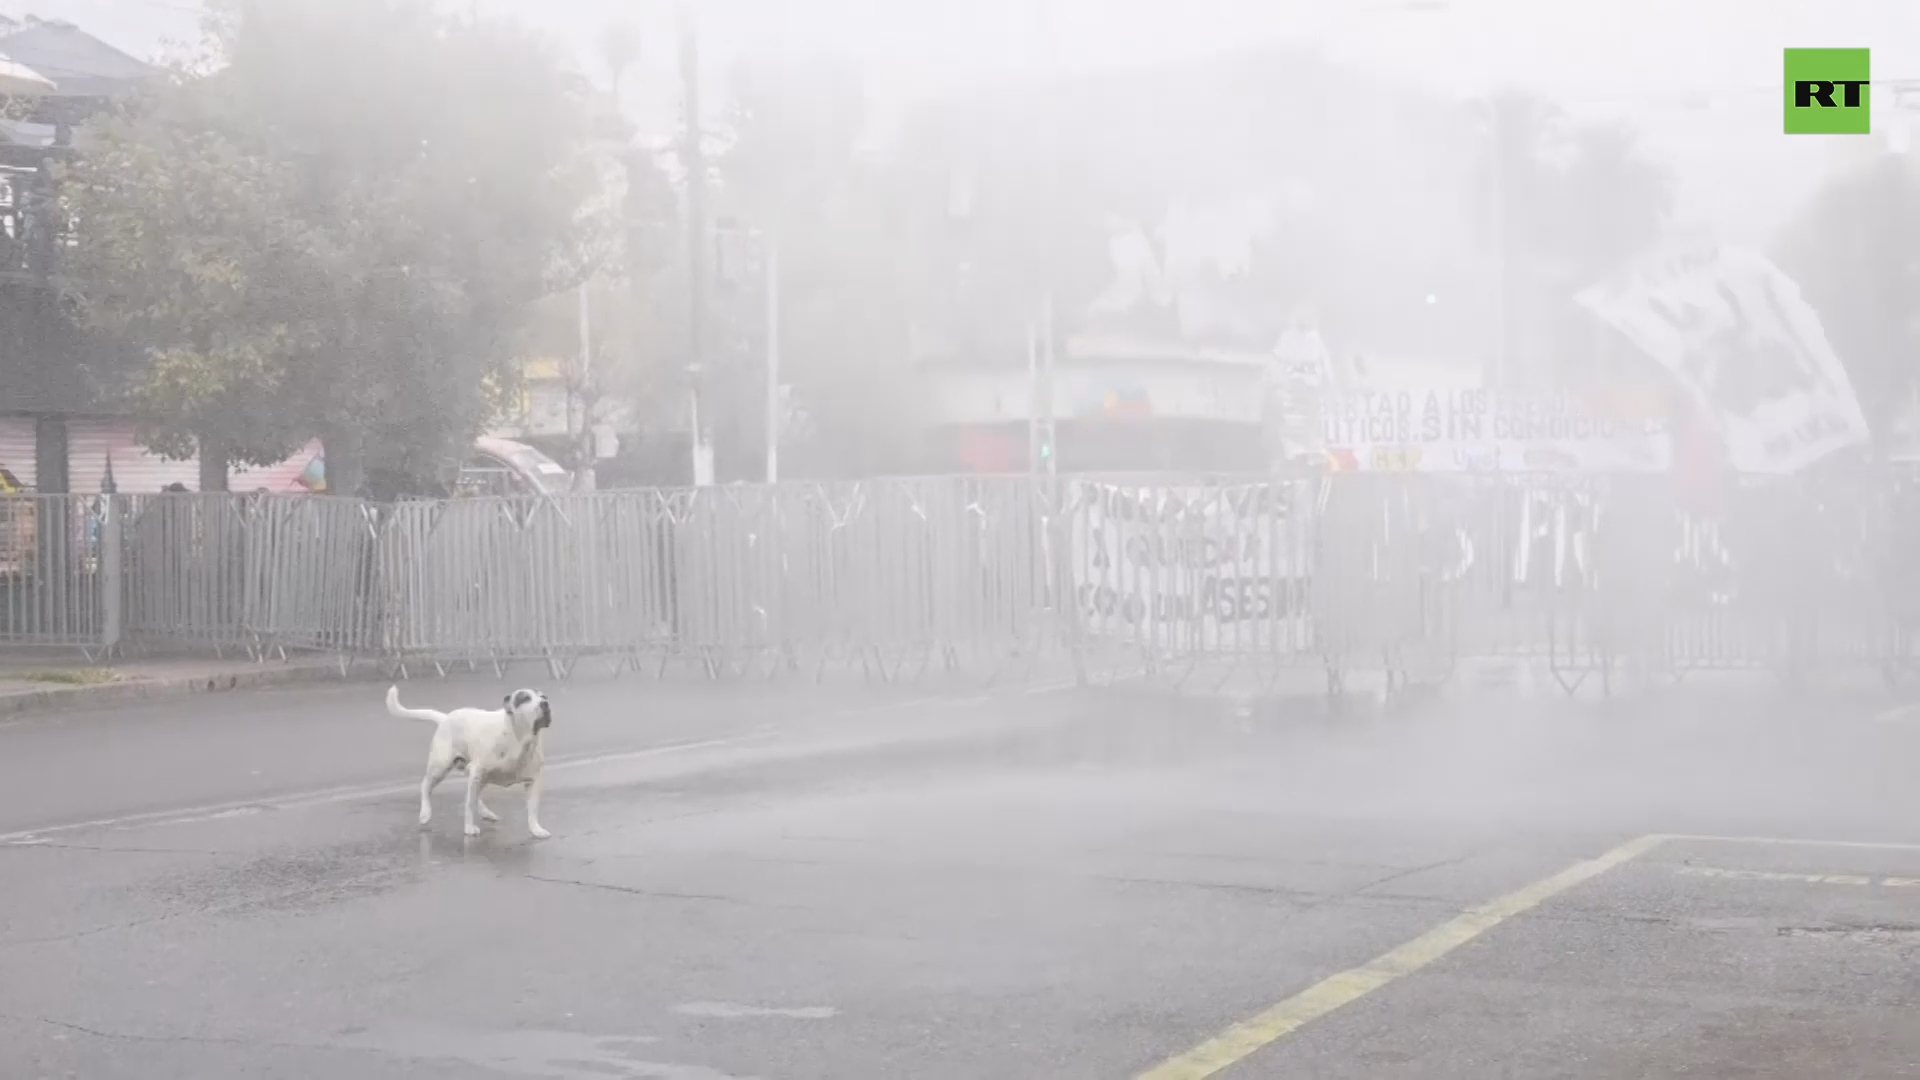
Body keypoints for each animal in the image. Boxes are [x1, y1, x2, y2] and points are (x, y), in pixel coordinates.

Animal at [382, 684, 549, 837]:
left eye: (544, 697)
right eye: (524, 698)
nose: (545, 704)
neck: (519, 740)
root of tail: (446, 718)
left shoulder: (533, 781)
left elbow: (533, 809)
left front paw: (536, 829)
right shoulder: (477, 772)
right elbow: (469, 804)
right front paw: (469, 827)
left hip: (478, 776)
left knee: (475, 795)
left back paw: (486, 812)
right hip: (441, 766)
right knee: (426, 785)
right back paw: (425, 813)